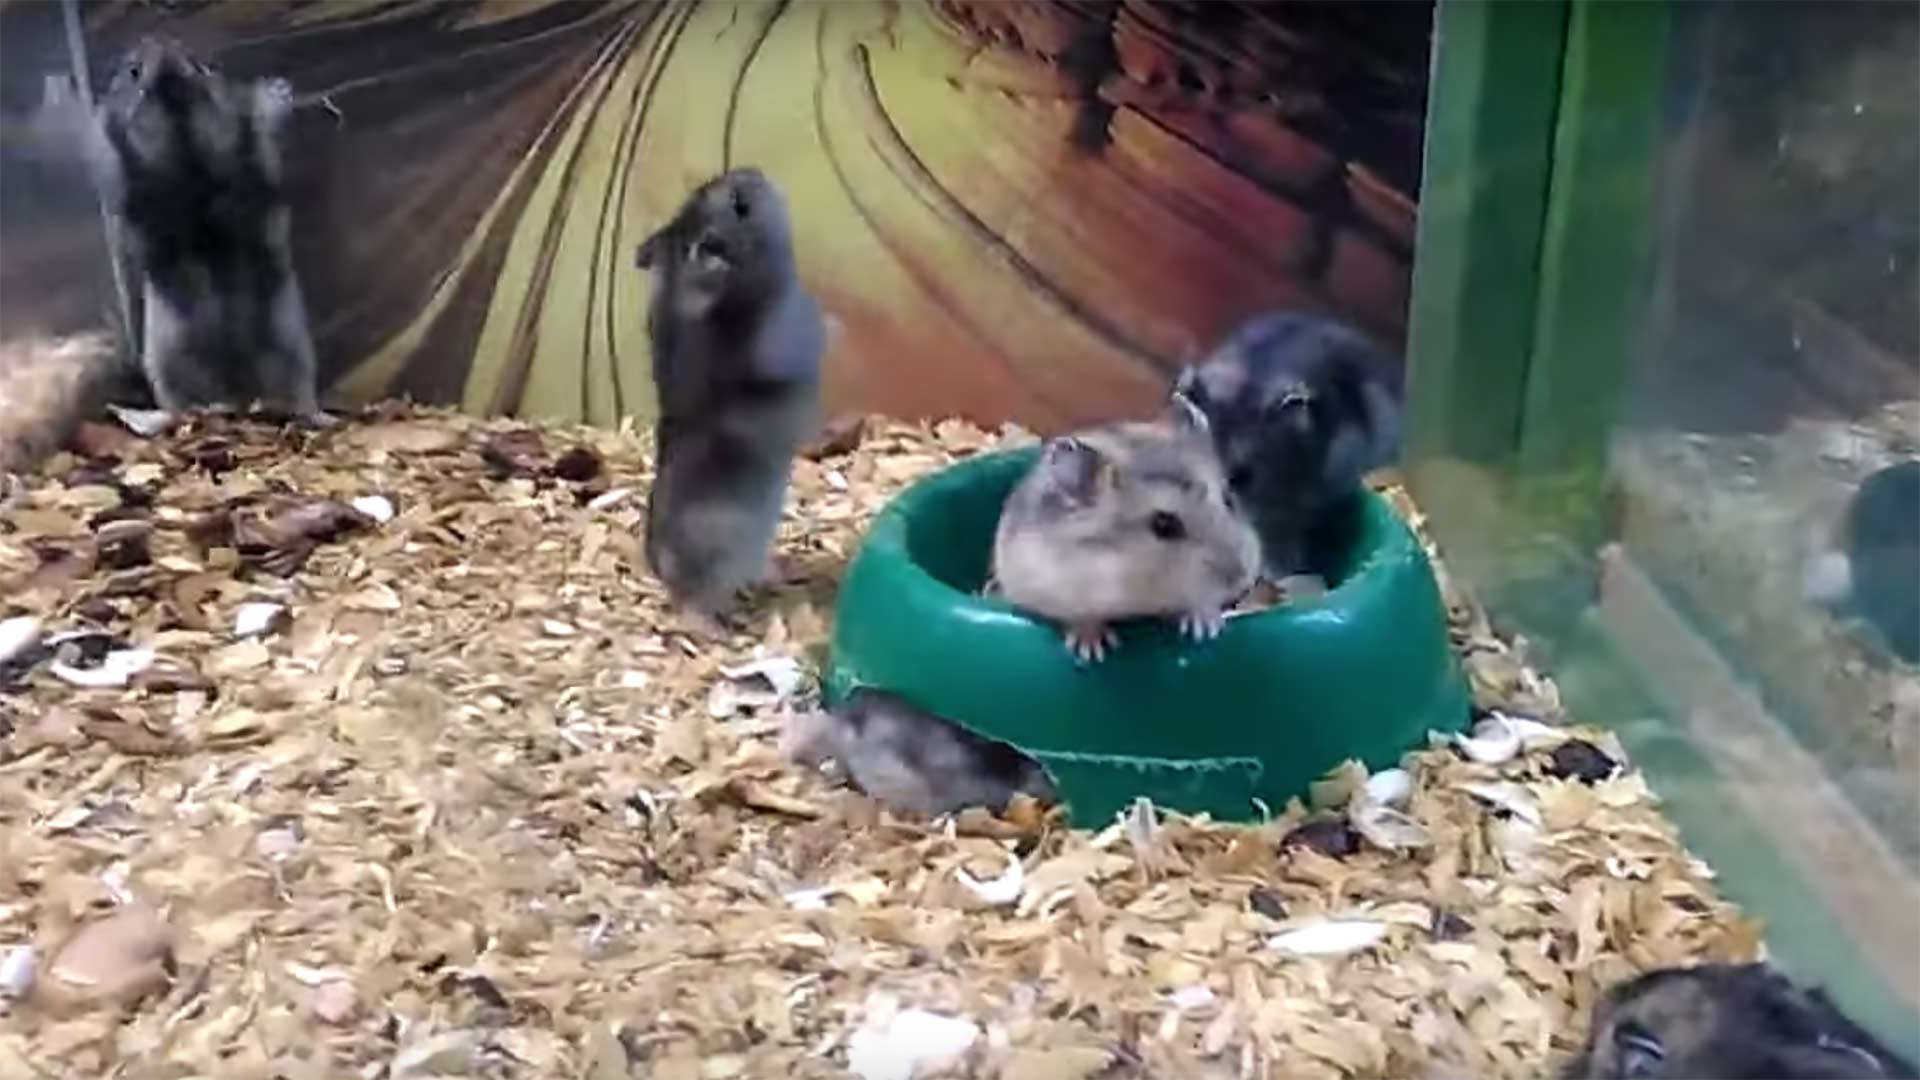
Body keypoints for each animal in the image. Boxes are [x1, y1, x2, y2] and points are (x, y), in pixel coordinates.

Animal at [83, 37, 329, 425]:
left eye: (200, 63)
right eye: (133, 69)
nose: (161, 47)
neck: (183, 143)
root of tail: (238, 393)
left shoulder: (247, 161)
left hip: (288, 342)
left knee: (299, 392)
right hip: (167, 358)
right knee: (181, 404)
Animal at [992, 394, 1261, 663]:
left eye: (1228, 499)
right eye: (1164, 525)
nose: (1242, 582)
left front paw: (1205, 627)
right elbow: (1080, 616)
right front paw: (1092, 649)